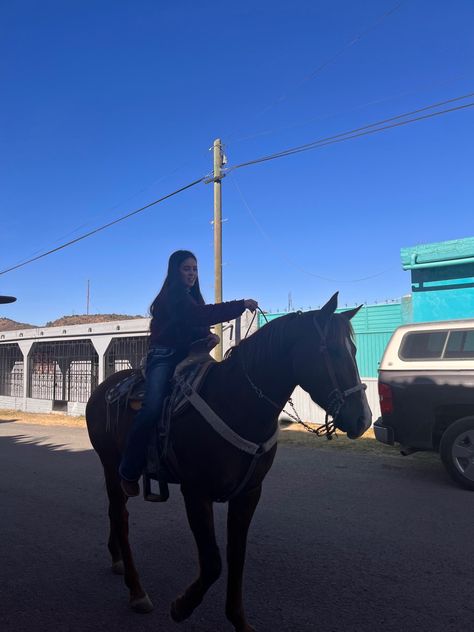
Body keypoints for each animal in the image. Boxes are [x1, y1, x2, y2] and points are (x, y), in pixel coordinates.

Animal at [87, 296, 372, 632]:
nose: (363, 419)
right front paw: (182, 606)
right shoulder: (196, 493)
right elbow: (213, 562)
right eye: (334, 350)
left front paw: (239, 621)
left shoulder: (248, 494)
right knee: (121, 517)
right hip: (111, 465)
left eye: (354, 351)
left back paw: (117, 559)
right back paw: (136, 591)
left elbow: (236, 557)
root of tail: (101, 389)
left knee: (115, 513)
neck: (235, 402)